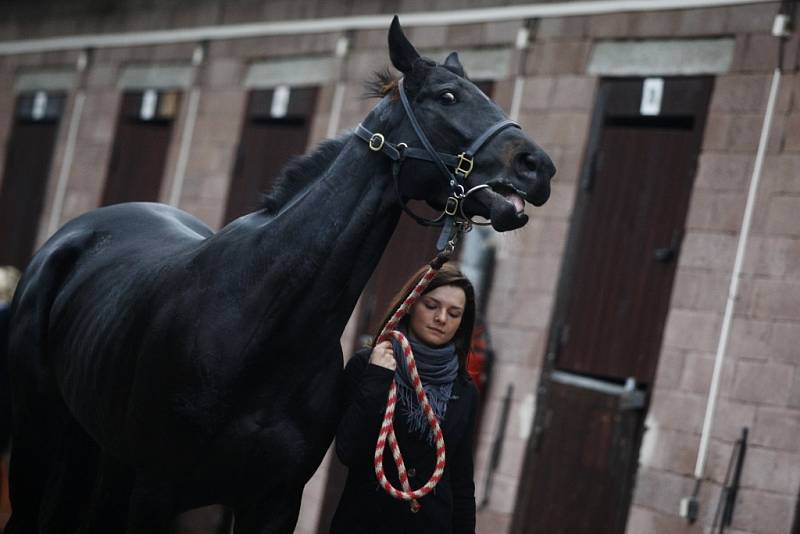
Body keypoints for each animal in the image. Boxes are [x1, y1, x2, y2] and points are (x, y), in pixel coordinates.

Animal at [6, 16, 552, 534]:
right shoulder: (153, 494)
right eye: (448, 96)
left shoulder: (274, 501)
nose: (539, 166)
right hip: (43, 444)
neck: (260, 327)